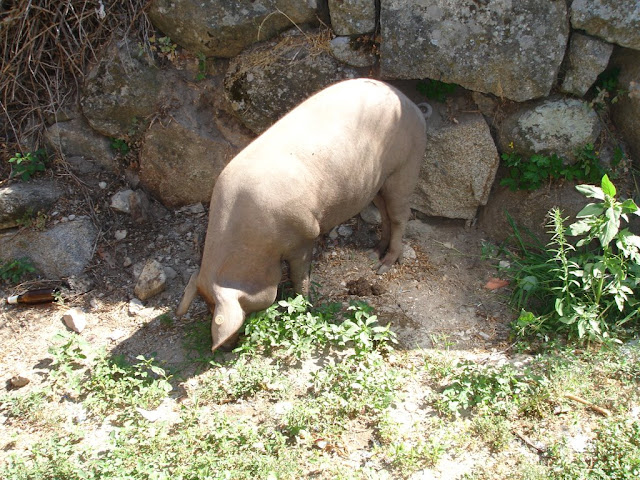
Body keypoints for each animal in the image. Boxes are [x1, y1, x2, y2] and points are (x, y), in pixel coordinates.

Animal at [176, 78, 428, 351]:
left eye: (216, 307)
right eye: (206, 304)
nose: (224, 347)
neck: (253, 245)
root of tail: (410, 104)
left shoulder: (304, 235)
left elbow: (300, 276)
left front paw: (302, 305)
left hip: (406, 166)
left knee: (400, 215)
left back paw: (383, 266)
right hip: (377, 182)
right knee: (384, 212)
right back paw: (373, 253)